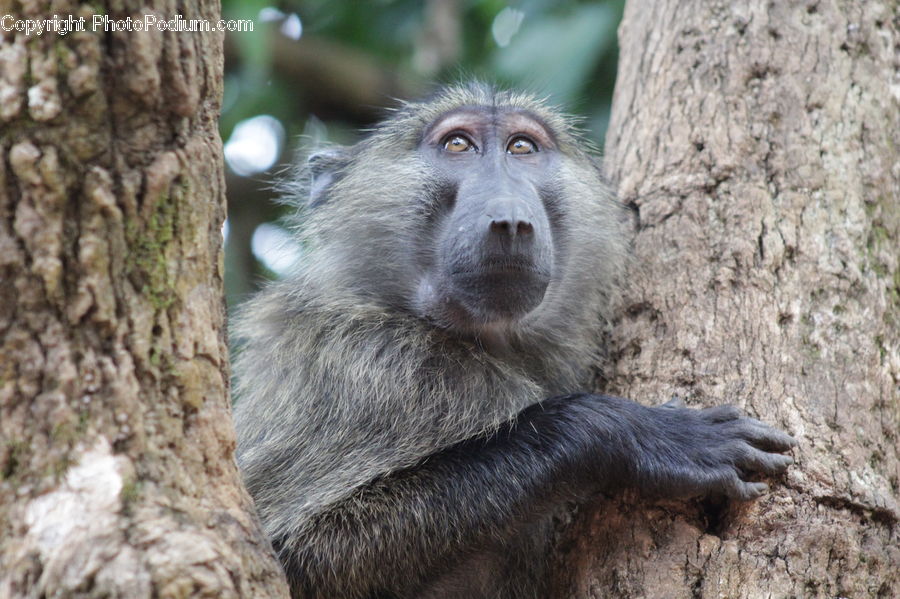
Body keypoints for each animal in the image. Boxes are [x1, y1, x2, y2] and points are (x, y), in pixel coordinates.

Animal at [231, 82, 796, 599]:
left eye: (521, 147)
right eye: (458, 145)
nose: (509, 218)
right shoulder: (364, 364)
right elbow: (292, 558)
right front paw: (644, 435)